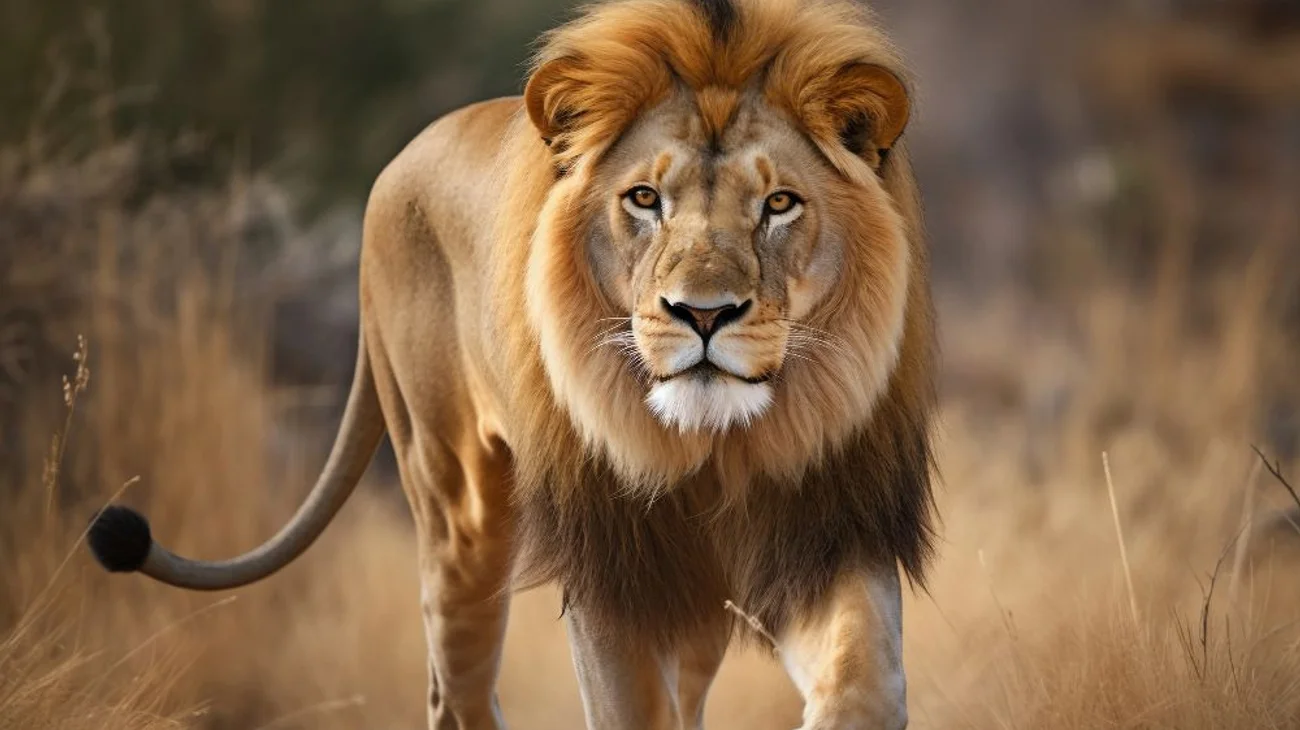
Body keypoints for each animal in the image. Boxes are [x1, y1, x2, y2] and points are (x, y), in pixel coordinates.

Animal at [87, 0, 938, 727]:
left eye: (779, 204)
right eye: (644, 199)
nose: (702, 314)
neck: (718, 451)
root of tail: (399, 159)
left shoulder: (833, 529)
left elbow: (865, 682)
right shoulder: (614, 575)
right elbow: (633, 710)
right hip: (456, 499)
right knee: (455, 689)